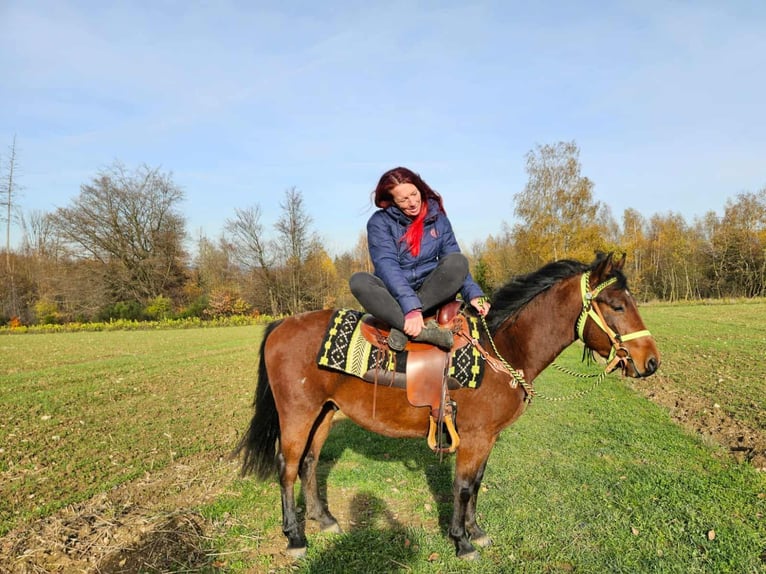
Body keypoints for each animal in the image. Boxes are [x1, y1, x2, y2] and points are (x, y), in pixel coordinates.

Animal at [236, 252, 660, 560]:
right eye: (616, 305)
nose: (651, 362)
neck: (501, 350)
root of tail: (281, 324)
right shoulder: (473, 437)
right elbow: (463, 486)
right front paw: (461, 541)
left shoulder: (486, 438)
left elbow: (477, 483)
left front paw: (475, 531)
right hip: (297, 414)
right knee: (287, 467)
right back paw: (295, 538)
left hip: (324, 413)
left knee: (309, 463)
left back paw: (323, 520)